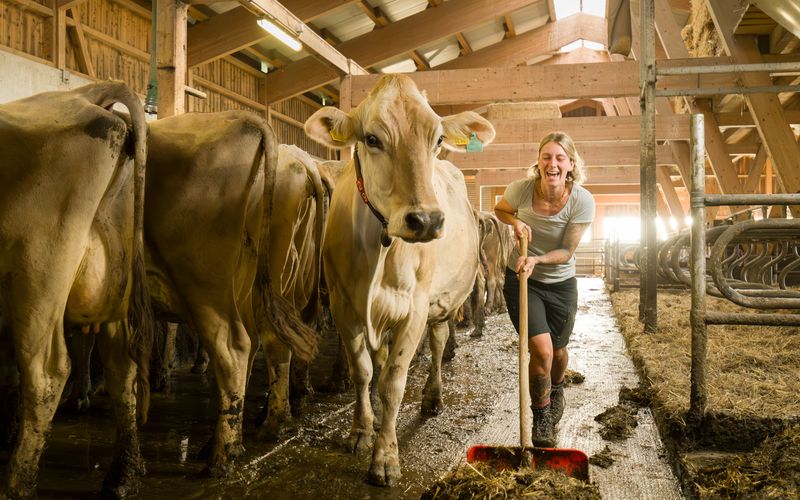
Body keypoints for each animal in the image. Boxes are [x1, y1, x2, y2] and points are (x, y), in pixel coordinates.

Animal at [0, 83, 152, 500]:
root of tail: (88, 92)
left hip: (37, 274)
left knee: (47, 371)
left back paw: (16, 484)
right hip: (116, 285)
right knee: (122, 369)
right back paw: (122, 476)